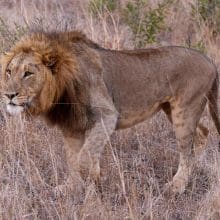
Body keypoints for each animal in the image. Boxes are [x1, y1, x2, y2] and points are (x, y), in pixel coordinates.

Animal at [0, 30, 220, 193]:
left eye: (28, 73)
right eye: (9, 71)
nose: (8, 95)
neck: (60, 89)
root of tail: (210, 61)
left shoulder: (107, 115)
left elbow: (84, 157)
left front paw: (93, 180)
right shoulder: (72, 126)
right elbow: (73, 158)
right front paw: (71, 187)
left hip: (185, 110)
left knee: (187, 151)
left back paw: (176, 186)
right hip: (173, 110)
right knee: (202, 133)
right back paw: (195, 169)